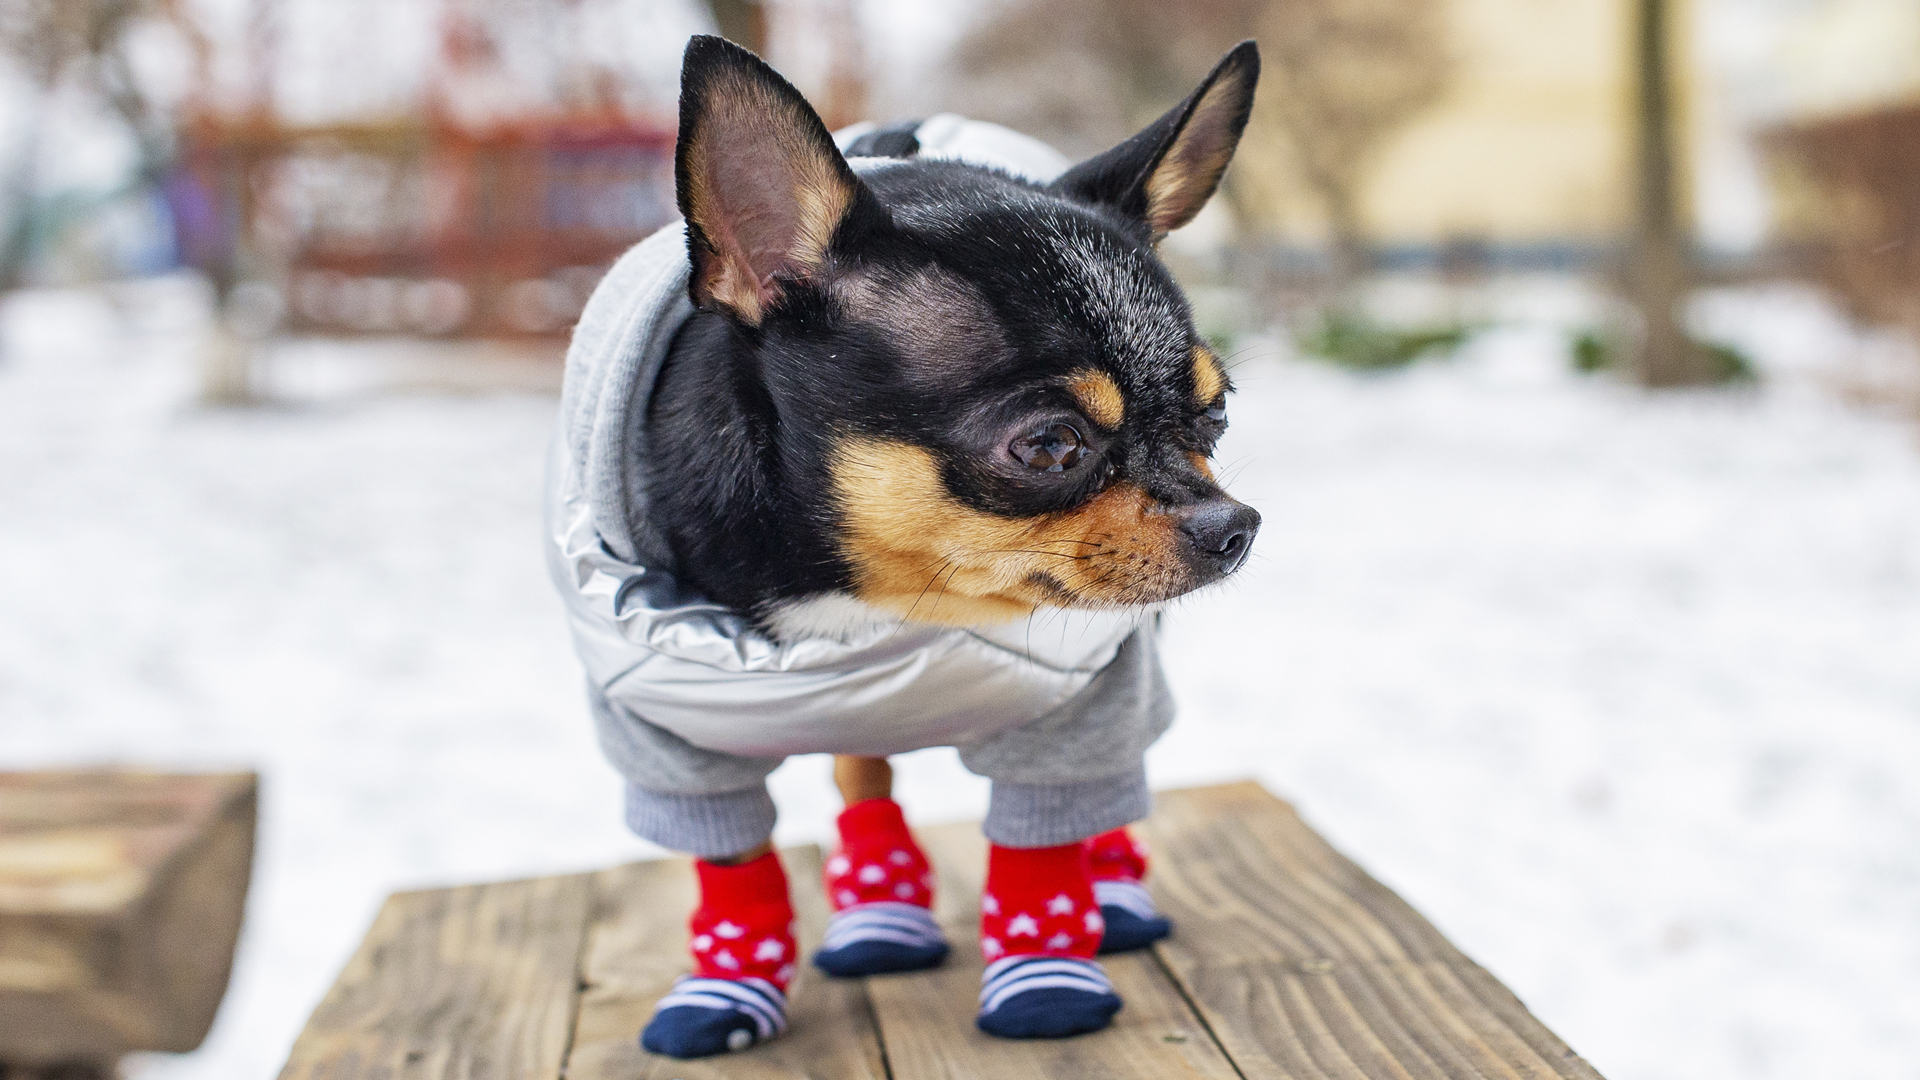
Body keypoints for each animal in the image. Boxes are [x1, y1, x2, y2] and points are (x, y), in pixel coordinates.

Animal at [545, 31, 1259, 1053]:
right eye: (1048, 445)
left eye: (1218, 413)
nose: (1233, 525)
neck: (872, 604)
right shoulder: (675, 734)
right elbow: (734, 859)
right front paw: (725, 986)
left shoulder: (1078, 702)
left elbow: (1043, 842)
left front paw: (1045, 977)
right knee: (862, 770)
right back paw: (881, 915)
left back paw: (1113, 895)